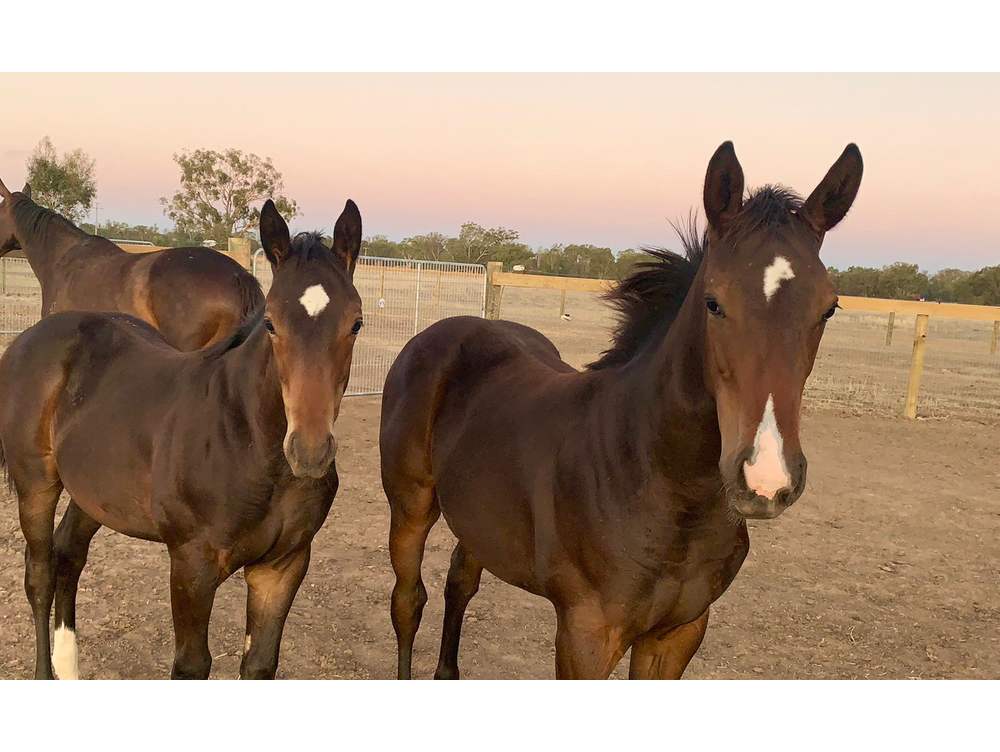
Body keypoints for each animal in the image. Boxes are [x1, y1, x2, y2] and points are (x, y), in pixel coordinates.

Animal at [0, 200, 364, 680]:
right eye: (271, 322)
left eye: (356, 323)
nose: (309, 451)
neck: (249, 443)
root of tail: (33, 337)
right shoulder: (192, 565)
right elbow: (191, 665)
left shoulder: (283, 566)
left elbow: (260, 664)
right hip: (36, 483)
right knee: (39, 571)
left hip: (93, 493)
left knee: (69, 554)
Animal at [378, 142, 864, 680]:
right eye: (713, 302)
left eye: (829, 308)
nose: (766, 479)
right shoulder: (587, 635)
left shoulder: (679, 633)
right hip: (410, 507)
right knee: (408, 600)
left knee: (460, 583)